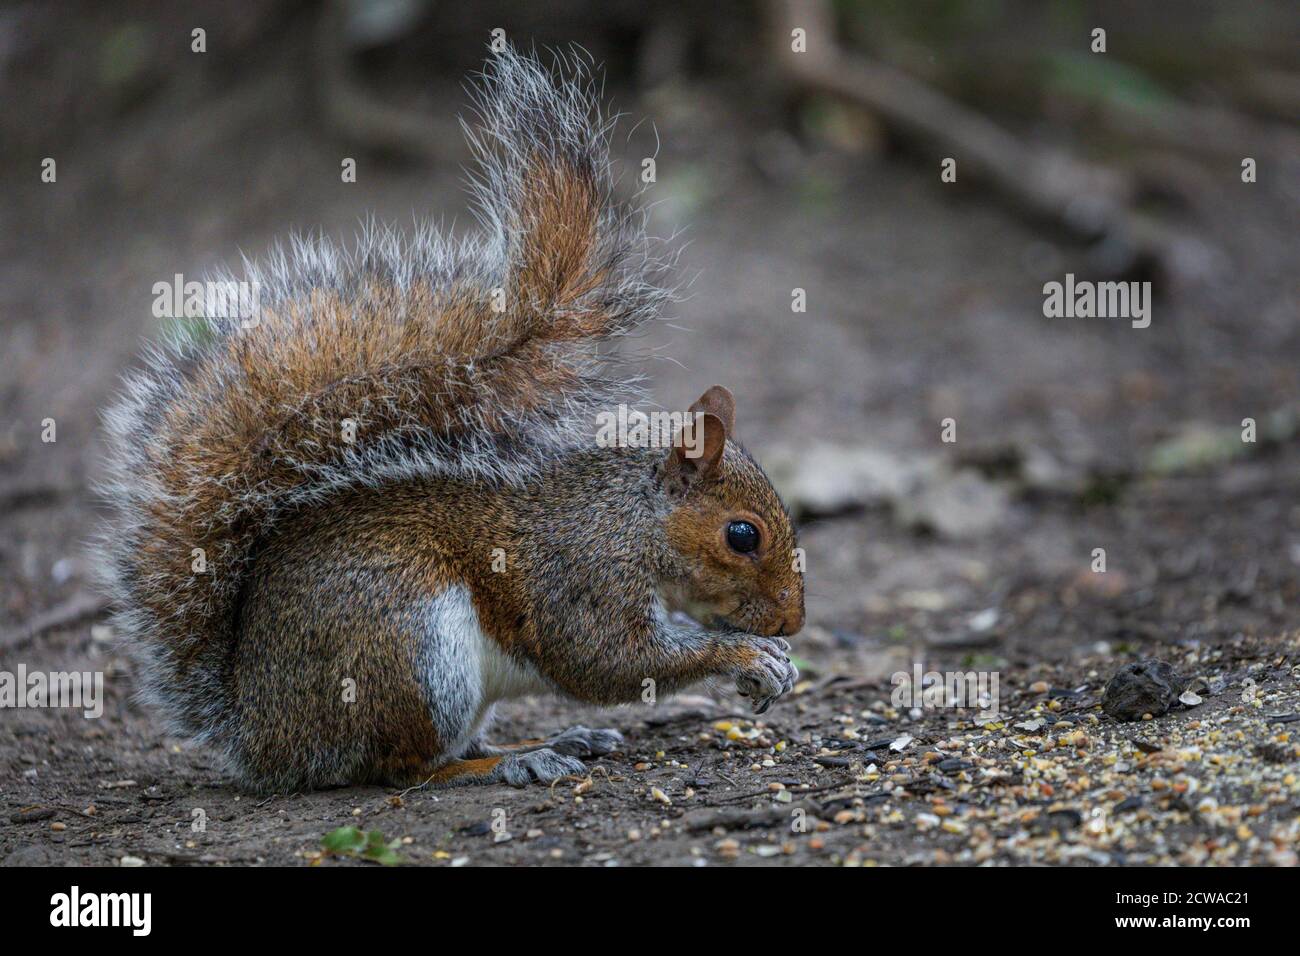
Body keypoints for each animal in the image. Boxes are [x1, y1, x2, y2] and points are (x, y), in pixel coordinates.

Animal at [96, 46, 800, 790]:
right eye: (742, 536)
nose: (792, 621)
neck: (634, 519)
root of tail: (260, 729)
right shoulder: (582, 576)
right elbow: (607, 659)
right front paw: (746, 656)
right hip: (408, 647)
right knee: (405, 767)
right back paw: (511, 762)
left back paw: (552, 741)